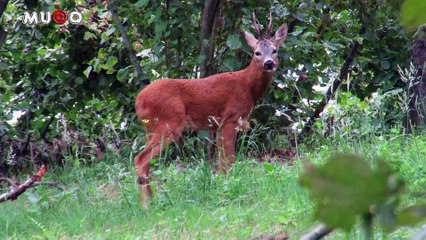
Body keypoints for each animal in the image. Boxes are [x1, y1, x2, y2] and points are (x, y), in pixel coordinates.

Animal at [134, 12, 286, 206]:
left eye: (275, 50)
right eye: (256, 52)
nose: (268, 64)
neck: (248, 87)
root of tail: (138, 100)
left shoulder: (218, 125)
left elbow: (221, 163)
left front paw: (221, 187)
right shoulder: (230, 118)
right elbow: (229, 159)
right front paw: (231, 187)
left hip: (151, 128)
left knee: (145, 162)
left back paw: (152, 200)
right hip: (168, 124)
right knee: (141, 159)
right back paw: (147, 205)